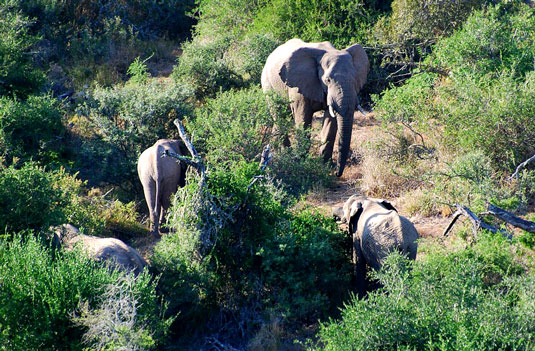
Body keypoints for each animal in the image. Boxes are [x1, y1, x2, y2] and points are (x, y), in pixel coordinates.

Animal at [262, 38, 370, 177]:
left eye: (355, 78)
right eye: (328, 80)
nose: (337, 173)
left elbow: (331, 122)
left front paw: (326, 165)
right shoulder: (299, 86)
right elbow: (303, 118)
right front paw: (300, 163)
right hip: (267, 83)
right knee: (278, 114)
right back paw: (285, 154)